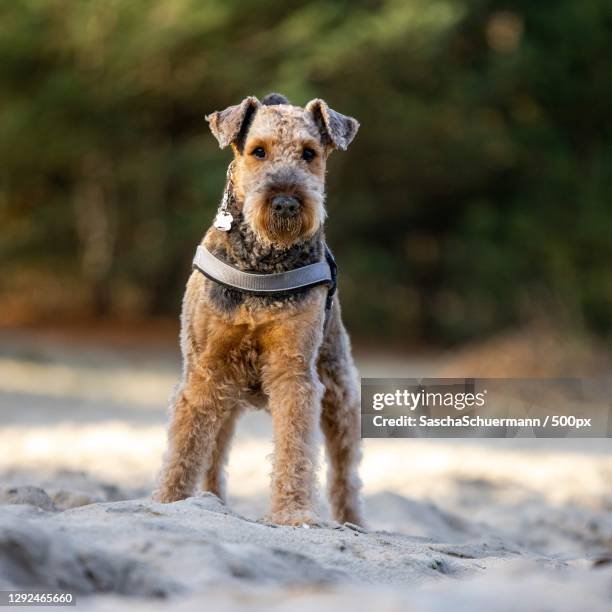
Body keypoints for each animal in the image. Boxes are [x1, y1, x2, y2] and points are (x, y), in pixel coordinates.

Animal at [154, 92, 364, 524]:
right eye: (258, 151)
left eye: (309, 153)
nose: (285, 203)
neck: (263, 265)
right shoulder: (204, 370)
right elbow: (184, 449)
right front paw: (168, 501)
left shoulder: (293, 373)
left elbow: (294, 450)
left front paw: (293, 512)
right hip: (224, 395)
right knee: (214, 456)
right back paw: (210, 500)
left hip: (340, 396)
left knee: (344, 474)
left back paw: (352, 521)